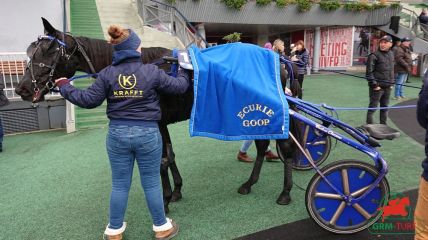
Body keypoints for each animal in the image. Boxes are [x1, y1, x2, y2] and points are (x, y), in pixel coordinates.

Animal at [15, 18, 300, 210]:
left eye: (50, 50)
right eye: (30, 52)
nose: (23, 88)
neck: (139, 66)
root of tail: (278, 58)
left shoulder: (156, 122)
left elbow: (162, 160)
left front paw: (164, 199)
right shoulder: (160, 123)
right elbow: (169, 156)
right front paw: (176, 191)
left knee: (284, 146)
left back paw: (285, 192)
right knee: (262, 145)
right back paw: (249, 183)